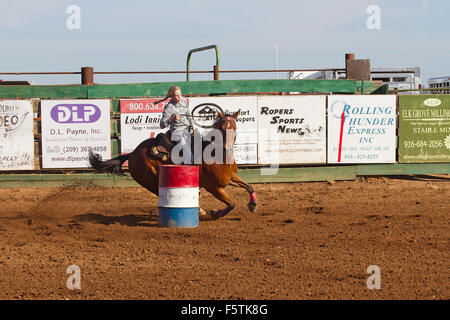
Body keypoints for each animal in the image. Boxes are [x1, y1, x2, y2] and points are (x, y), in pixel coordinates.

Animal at [88, 110, 256, 218]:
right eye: (220, 128)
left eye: (234, 127)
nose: (227, 147)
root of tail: (133, 153)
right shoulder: (214, 187)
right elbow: (232, 203)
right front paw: (216, 213)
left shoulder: (230, 178)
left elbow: (249, 186)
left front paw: (252, 205)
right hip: (150, 180)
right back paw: (199, 210)